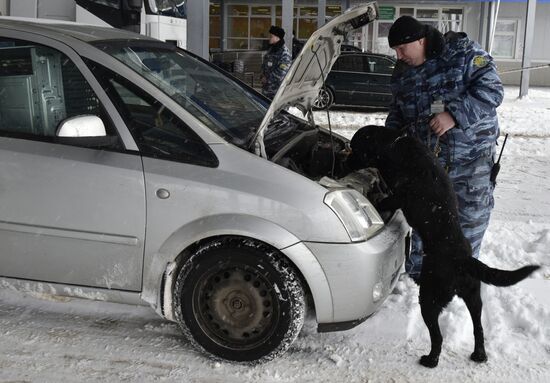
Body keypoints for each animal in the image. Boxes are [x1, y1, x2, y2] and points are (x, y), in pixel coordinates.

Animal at [348, 126, 540, 368]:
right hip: (474, 297)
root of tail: (464, 260)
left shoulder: (399, 196)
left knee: (438, 336)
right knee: (478, 328)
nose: (346, 161)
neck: (395, 144)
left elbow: (386, 200)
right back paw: (479, 354)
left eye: (355, 147)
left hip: (429, 298)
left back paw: (430, 359)